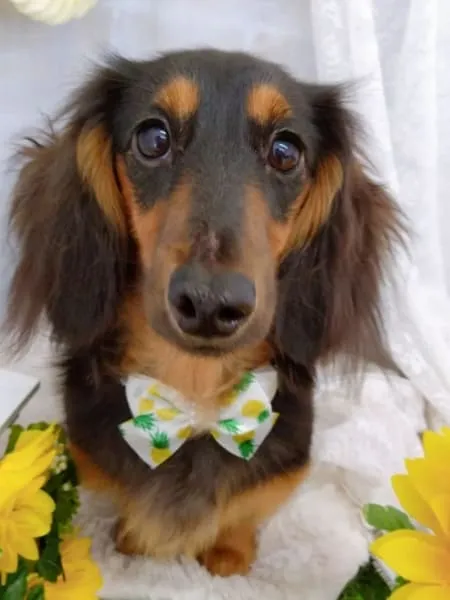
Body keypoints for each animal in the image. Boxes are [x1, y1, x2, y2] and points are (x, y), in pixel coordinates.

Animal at [4, 49, 404, 577]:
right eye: (153, 139)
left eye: (286, 151)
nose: (211, 303)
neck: (195, 399)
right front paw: (131, 543)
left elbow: (242, 514)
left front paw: (229, 556)